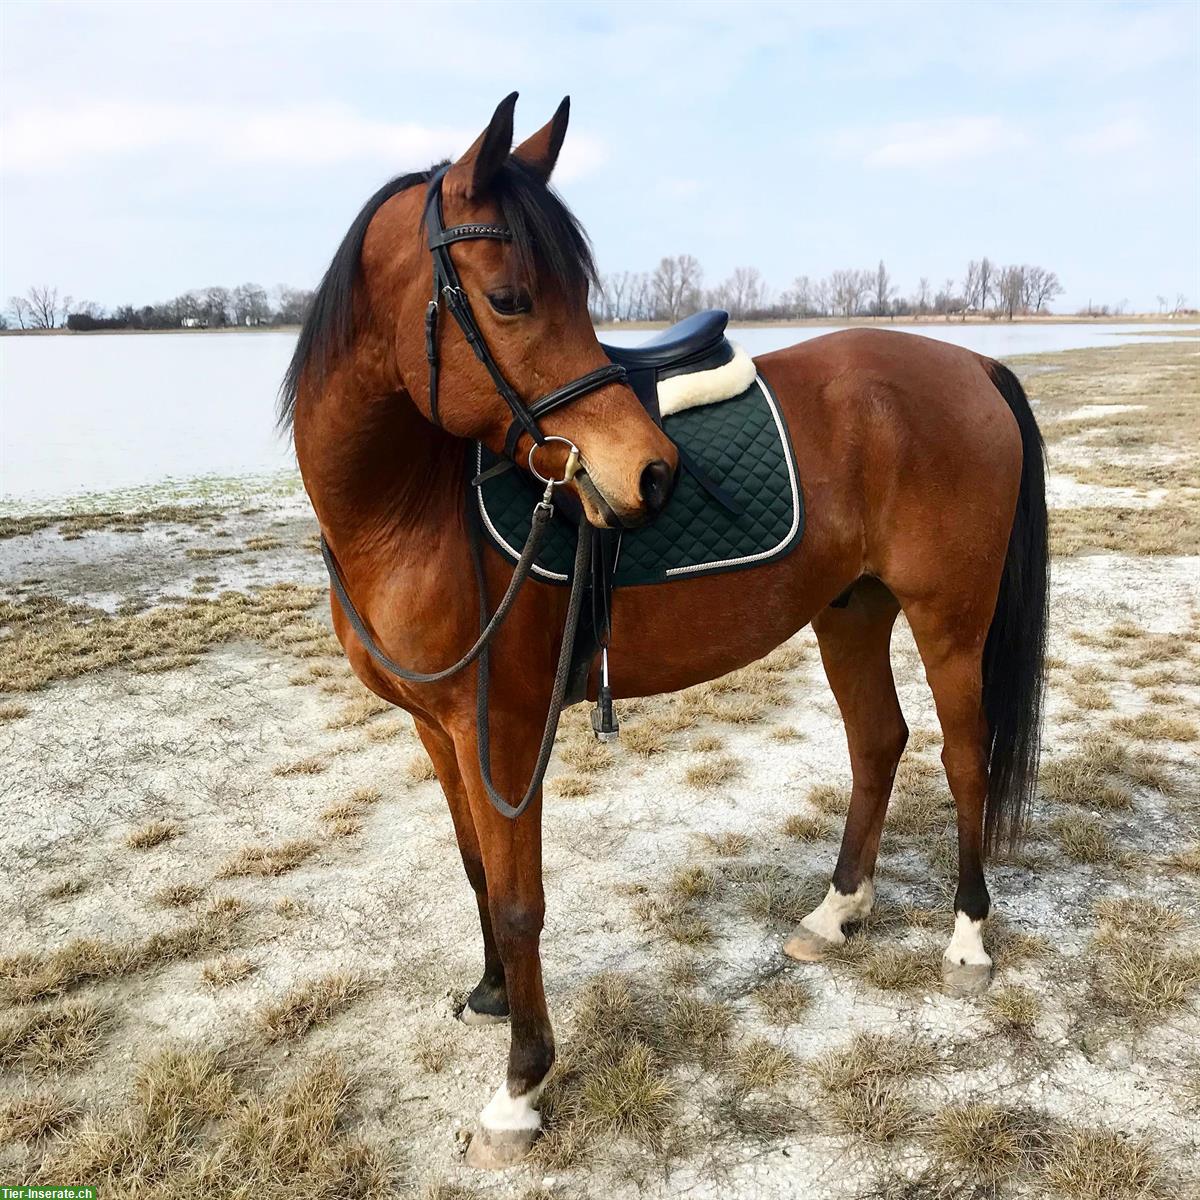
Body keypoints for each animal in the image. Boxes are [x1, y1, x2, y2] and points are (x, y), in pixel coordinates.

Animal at [278, 96, 1041, 1171]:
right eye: (511, 298)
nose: (650, 474)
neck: (410, 510)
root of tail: (969, 359)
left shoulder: (502, 733)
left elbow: (519, 899)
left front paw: (521, 1087)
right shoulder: (438, 730)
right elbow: (475, 871)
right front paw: (492, 994)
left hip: (948, 619)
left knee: (964, 757)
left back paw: (967, 939)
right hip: (851, 610)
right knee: (878, 744)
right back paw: (835, 912)